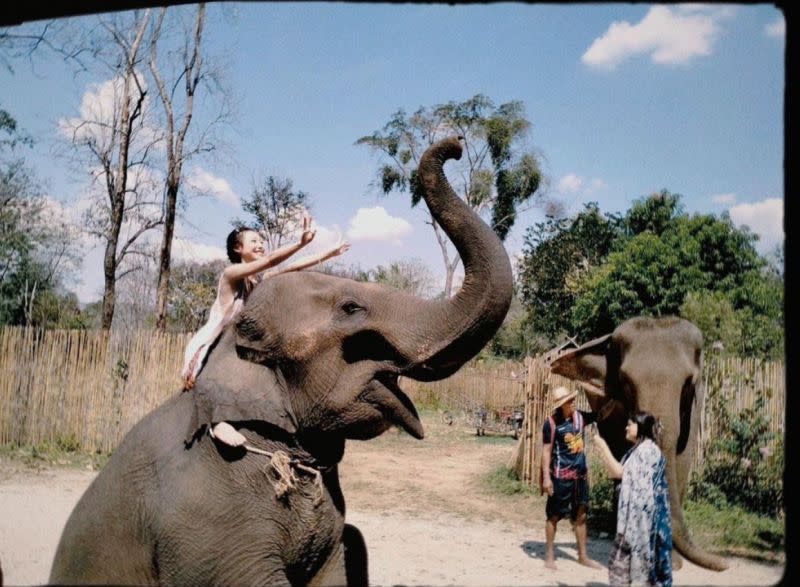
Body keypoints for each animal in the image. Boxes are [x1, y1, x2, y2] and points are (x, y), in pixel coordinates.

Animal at [552, 320, 728, 572]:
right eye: (625, 382)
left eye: (688, 382)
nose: (725, 563)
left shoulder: (695, 405)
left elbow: (682, 459)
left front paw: (671, 560)